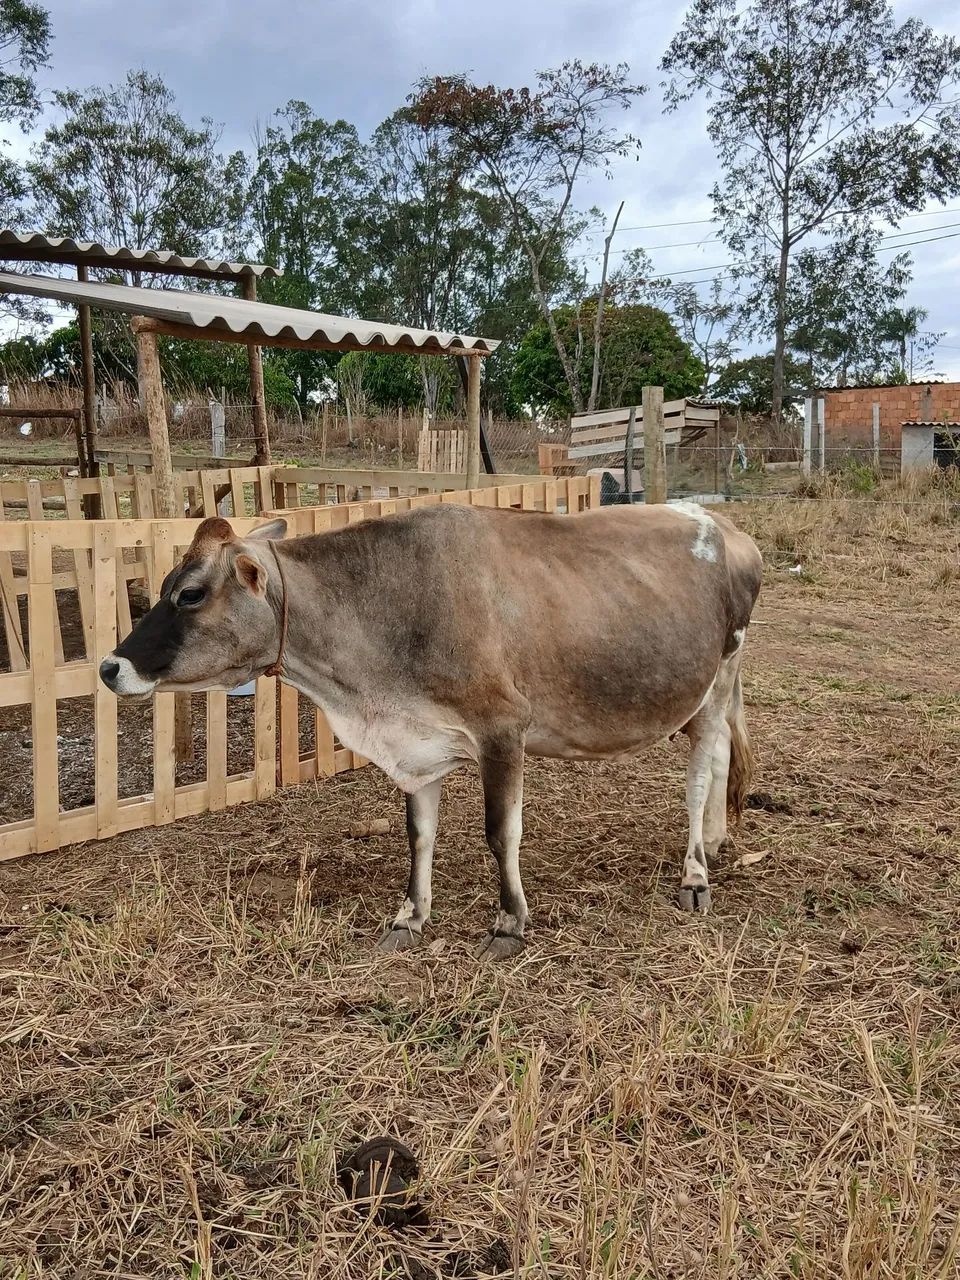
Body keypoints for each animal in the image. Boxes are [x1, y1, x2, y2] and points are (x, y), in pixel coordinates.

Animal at [99, 502, 763, 958]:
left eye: (190, 593)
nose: (109, 667)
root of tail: (726, 526)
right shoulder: (417, 746)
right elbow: (419, 835)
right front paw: (409, 916)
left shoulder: (503, 727)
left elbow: (500, 833)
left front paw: (509, 923)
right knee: (721, 759)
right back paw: (715, 842)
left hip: (718, 679)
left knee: (700, 774)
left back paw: (695, 873)